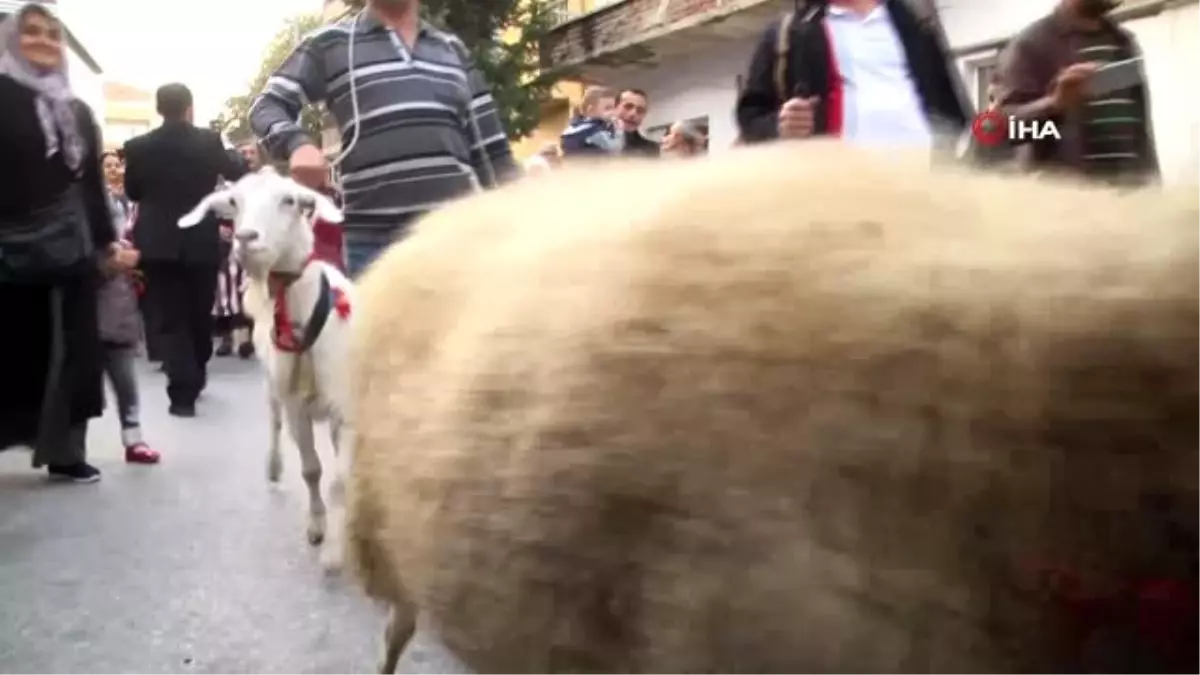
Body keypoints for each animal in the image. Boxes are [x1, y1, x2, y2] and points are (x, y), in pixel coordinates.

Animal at [177, 169, 352, 557]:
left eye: (289, 200)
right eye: (234, 202)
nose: (245, 238)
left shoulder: (344, 407)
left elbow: (342, 477)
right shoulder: (296, 405)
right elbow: (312, 470)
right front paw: (318, 528)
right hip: (272, 387)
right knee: (274, 424)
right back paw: (273, 468)